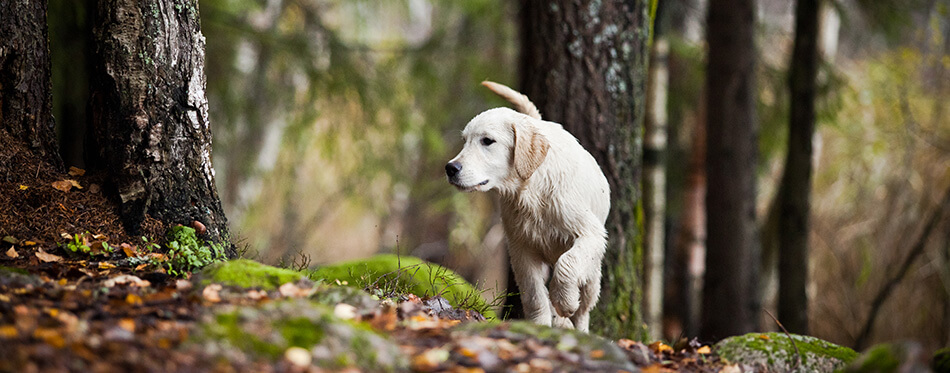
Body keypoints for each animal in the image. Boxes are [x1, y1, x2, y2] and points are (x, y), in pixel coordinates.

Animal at [446, 81, 608, 332]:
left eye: (487, 141)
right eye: (465, 141)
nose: (450, 168)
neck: (532, 190)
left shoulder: (591, 234)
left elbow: (567, 263)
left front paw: (565, 302)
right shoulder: (521, 248)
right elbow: (534, 295)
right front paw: (541, 324)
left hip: (592, 273)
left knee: (584, 310)